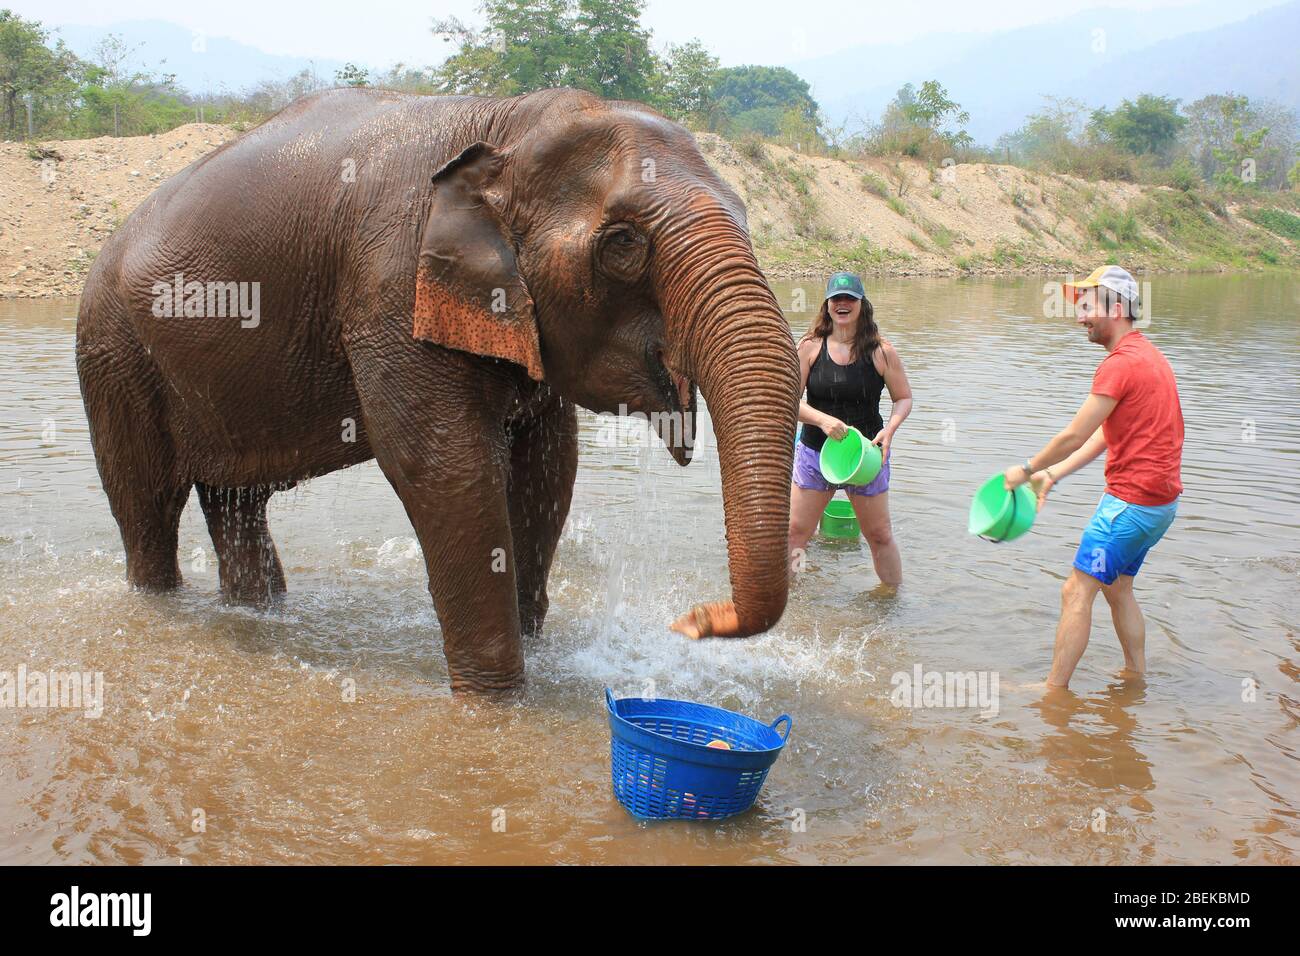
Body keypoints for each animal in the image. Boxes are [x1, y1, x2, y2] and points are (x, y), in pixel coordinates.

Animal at [78, 87, 800, 686]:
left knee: (235, 502)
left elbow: (547, 465)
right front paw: (496, 699)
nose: (694, 621)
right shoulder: (392, 290)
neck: (503, 123)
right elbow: (445, 467)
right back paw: (161, 603)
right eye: (622, 244)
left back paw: (259, 613)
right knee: (147, 507)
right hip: (112, 354)